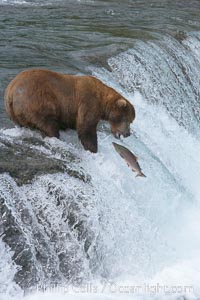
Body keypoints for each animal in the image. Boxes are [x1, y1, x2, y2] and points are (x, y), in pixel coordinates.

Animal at [4, 68, 135, 152]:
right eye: (126, 119)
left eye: (131, 120)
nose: (128, 133)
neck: (102, 100)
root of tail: (11, 91)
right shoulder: (88, 102)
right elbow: (86, 127)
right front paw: (93, 148)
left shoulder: (70, 111)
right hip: (37, 101)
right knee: (48, 124)